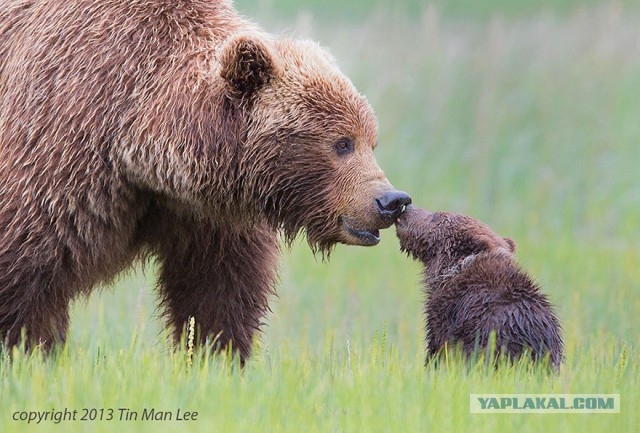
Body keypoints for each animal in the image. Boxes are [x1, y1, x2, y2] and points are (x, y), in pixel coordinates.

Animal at [0, 0, 410, 358]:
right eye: (342, 143)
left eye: (371, 140)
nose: (391, 200)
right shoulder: (61, 149)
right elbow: (26, 270)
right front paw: (28, 350)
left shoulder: (207, 213)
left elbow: (218, 289)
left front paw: (216, 356)